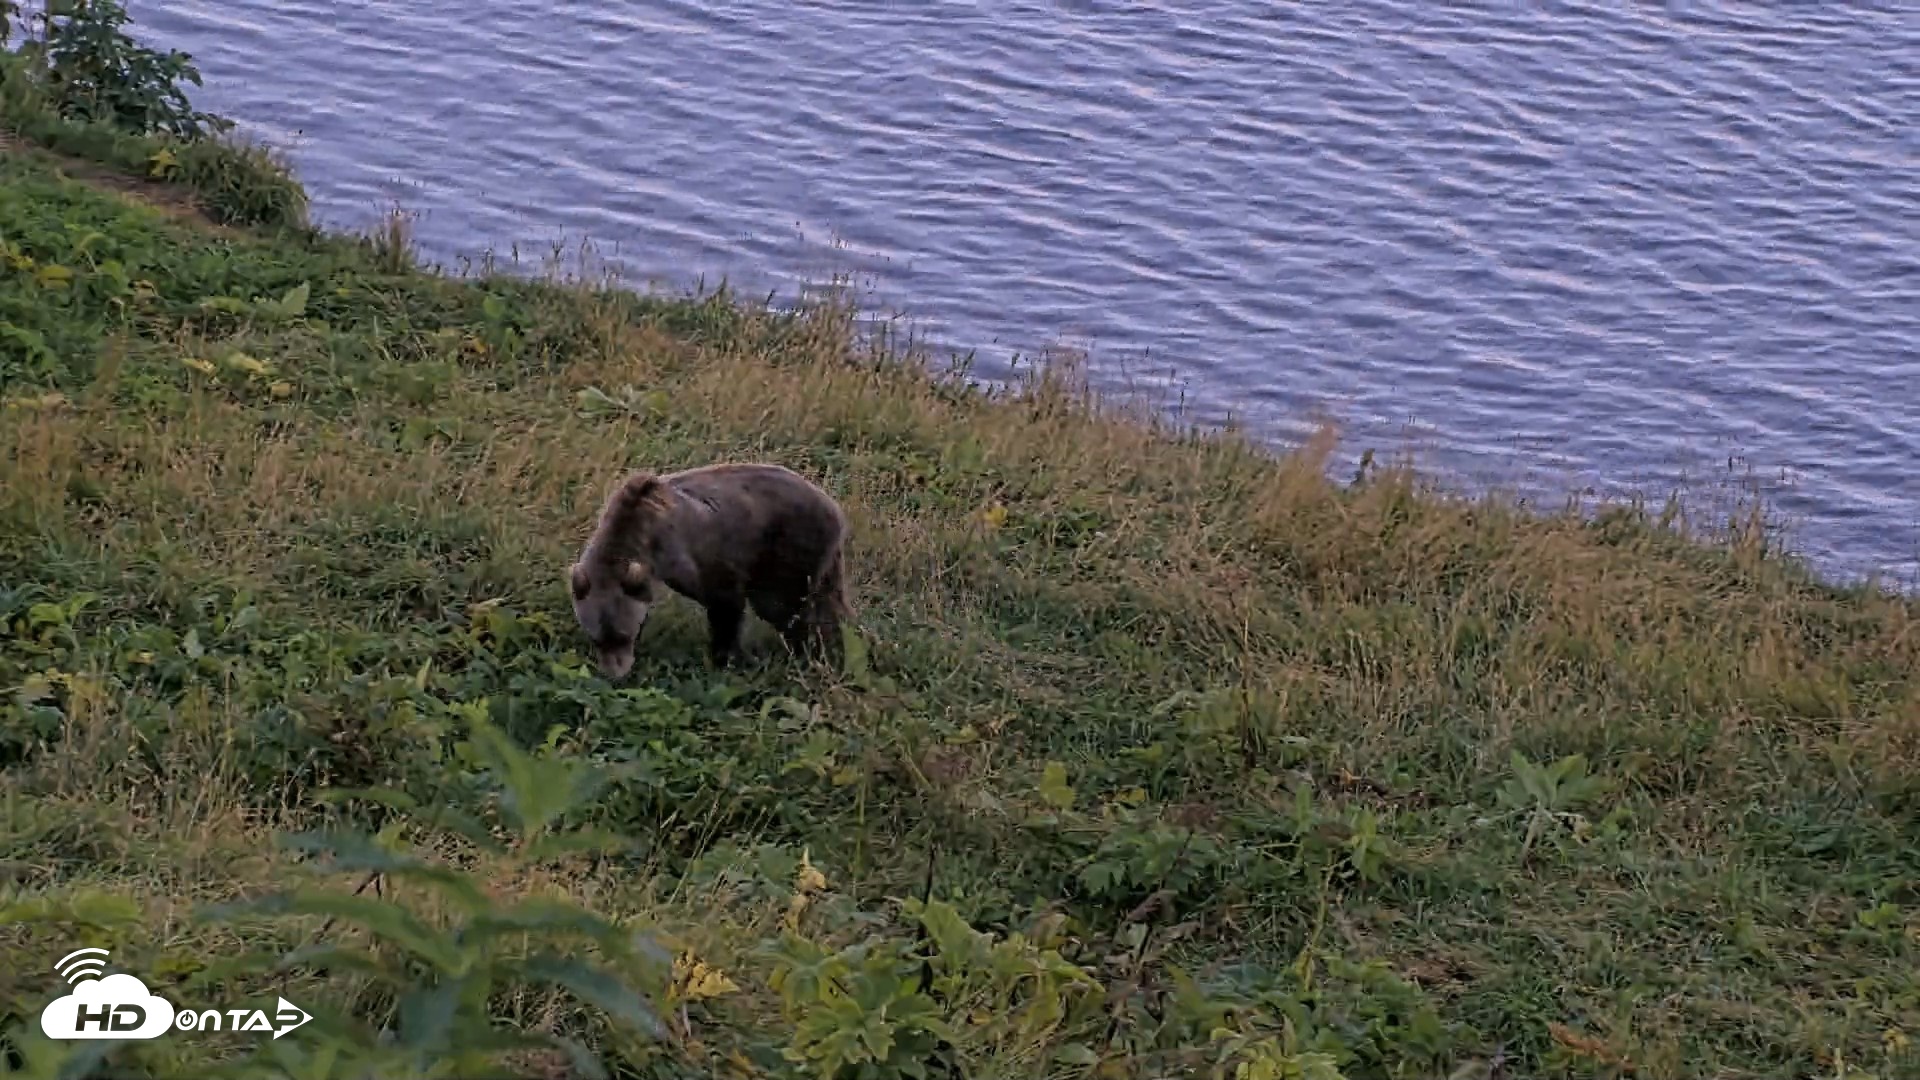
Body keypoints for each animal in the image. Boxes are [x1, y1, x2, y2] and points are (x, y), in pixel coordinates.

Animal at [569, 462, 853, 678]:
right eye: (597, 638)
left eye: (623, 635)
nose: (615, 674)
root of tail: (834, 507)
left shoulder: (695, 554)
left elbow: (724, 604)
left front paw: (724, 659)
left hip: (788, 546)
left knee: (785, 607)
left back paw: (808, 652)